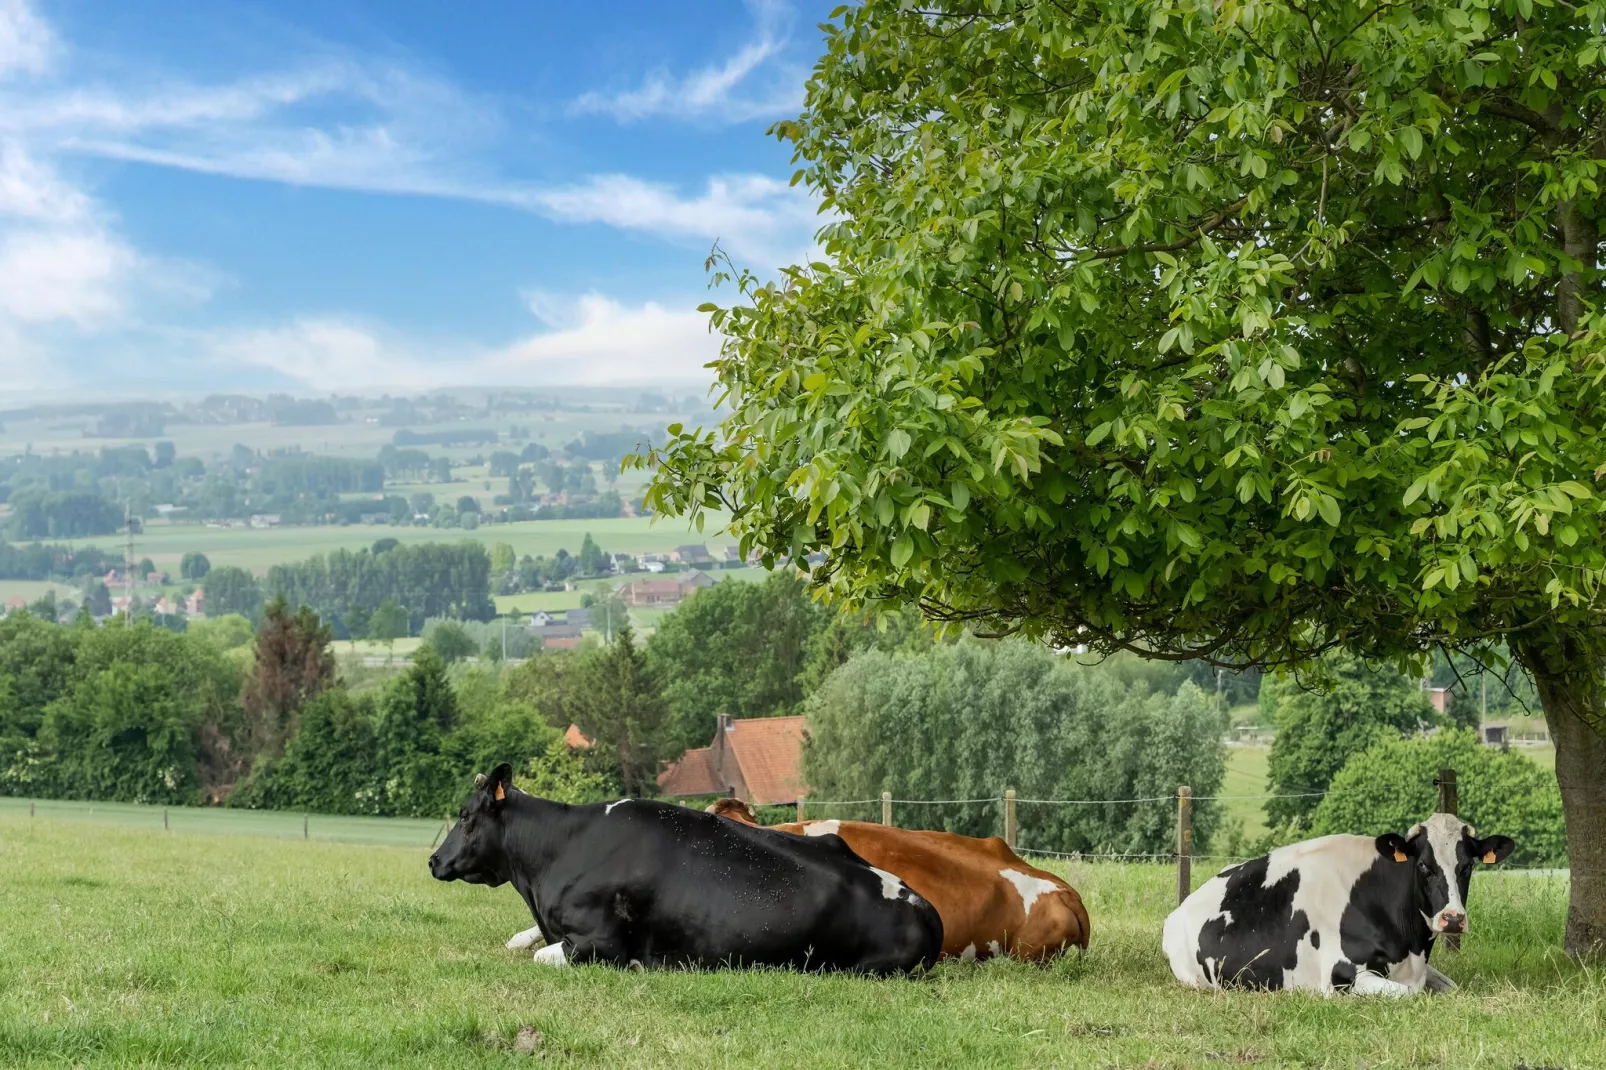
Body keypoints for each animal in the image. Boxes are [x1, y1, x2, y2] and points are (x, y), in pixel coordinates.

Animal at [433, 758, 944, 976]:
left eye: (465, 814)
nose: (434, 859)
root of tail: (923, 905)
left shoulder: (601, 944)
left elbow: (543, 957)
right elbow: (525, 941)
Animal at [1162, 812, 1509, 996]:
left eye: (1468, 866)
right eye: (1424, 866)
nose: (1453, 918)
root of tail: (1179, 909)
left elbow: (1450, 987)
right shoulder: (1342, 975)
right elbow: (1411, 994)